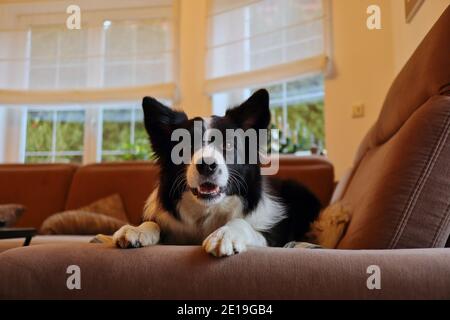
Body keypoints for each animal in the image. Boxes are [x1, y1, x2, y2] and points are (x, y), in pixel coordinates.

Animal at [112, 89, 324, 256]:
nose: (207, 165)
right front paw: (137, 230)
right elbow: (153, 223)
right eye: (185, 146)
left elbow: (242, 223)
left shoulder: (272, 237)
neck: (208, 211)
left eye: (228, 145)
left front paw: (224, 234)